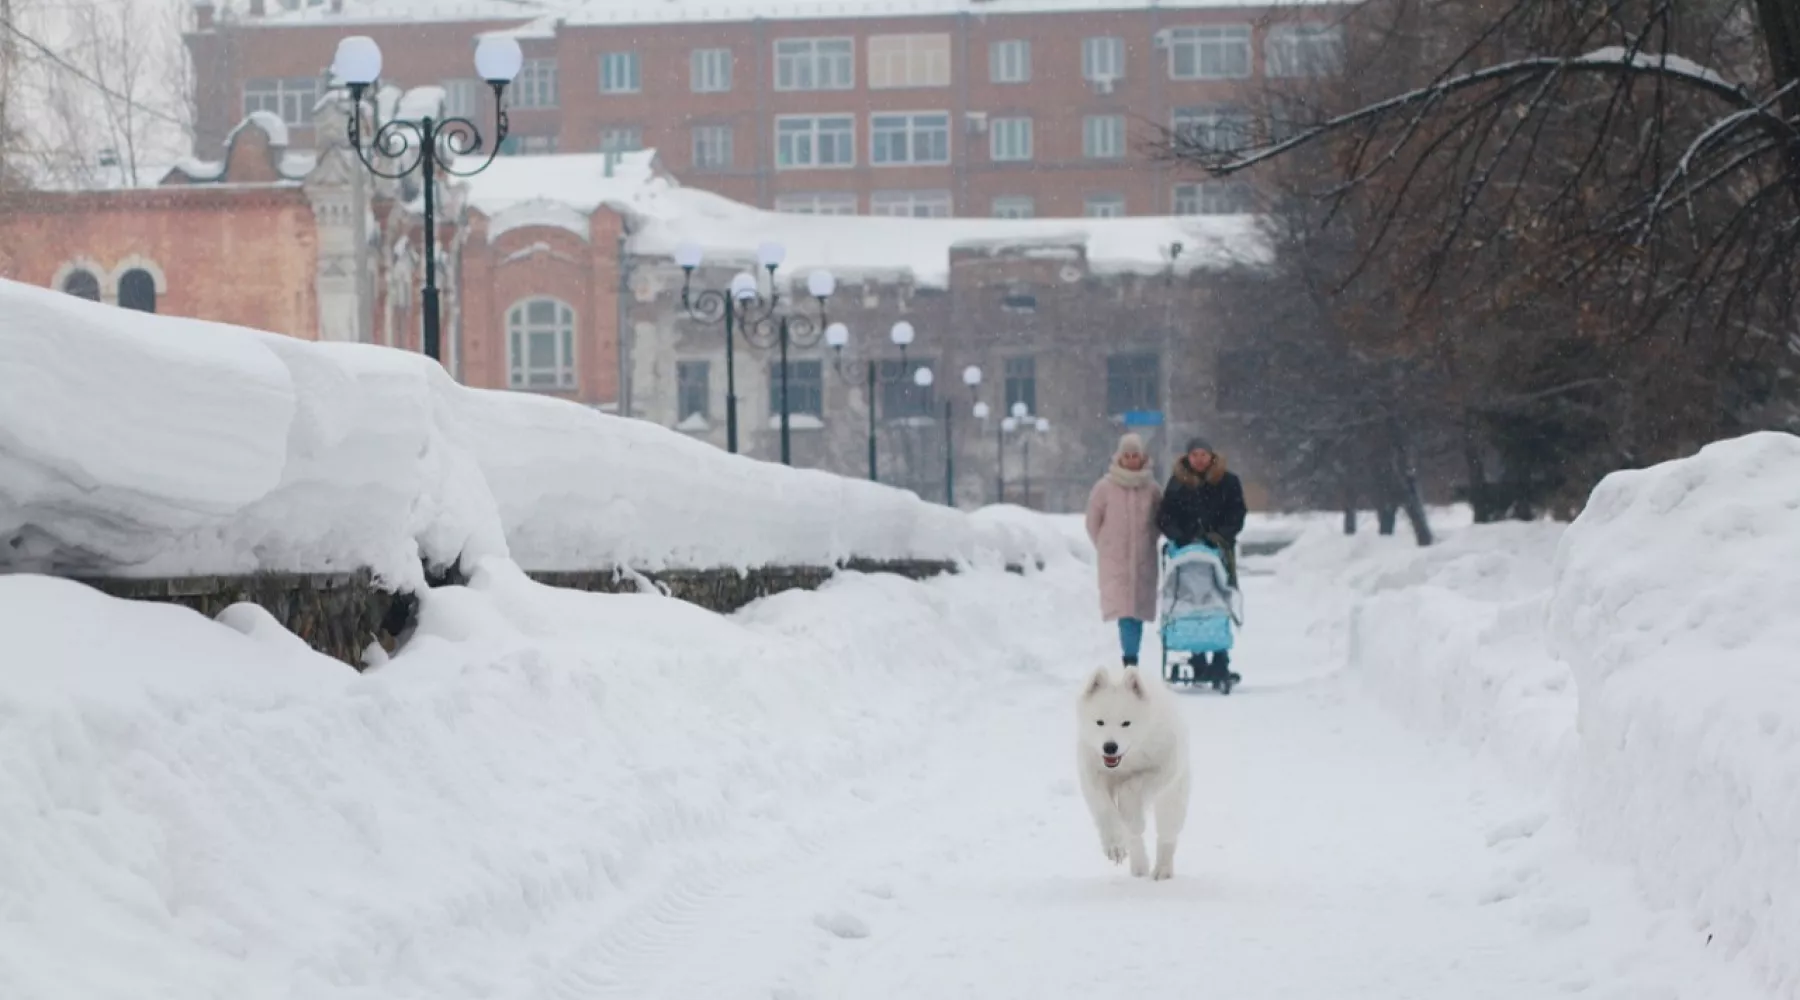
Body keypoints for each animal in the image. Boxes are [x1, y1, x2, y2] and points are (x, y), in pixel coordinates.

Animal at [1072, 669, 1188, 877]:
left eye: (1126, 723)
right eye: (1100, 722)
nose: (1110, 747)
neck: (1127, 760)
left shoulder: (1166, 765)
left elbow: (1132, 788)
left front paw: (1129, 809)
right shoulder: (1092, 772)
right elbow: (1105, 809)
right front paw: (1115, 846)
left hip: (1172, 799)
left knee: (1166, 835)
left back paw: (1162, 871)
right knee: (1135, 837)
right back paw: (1139, 866)